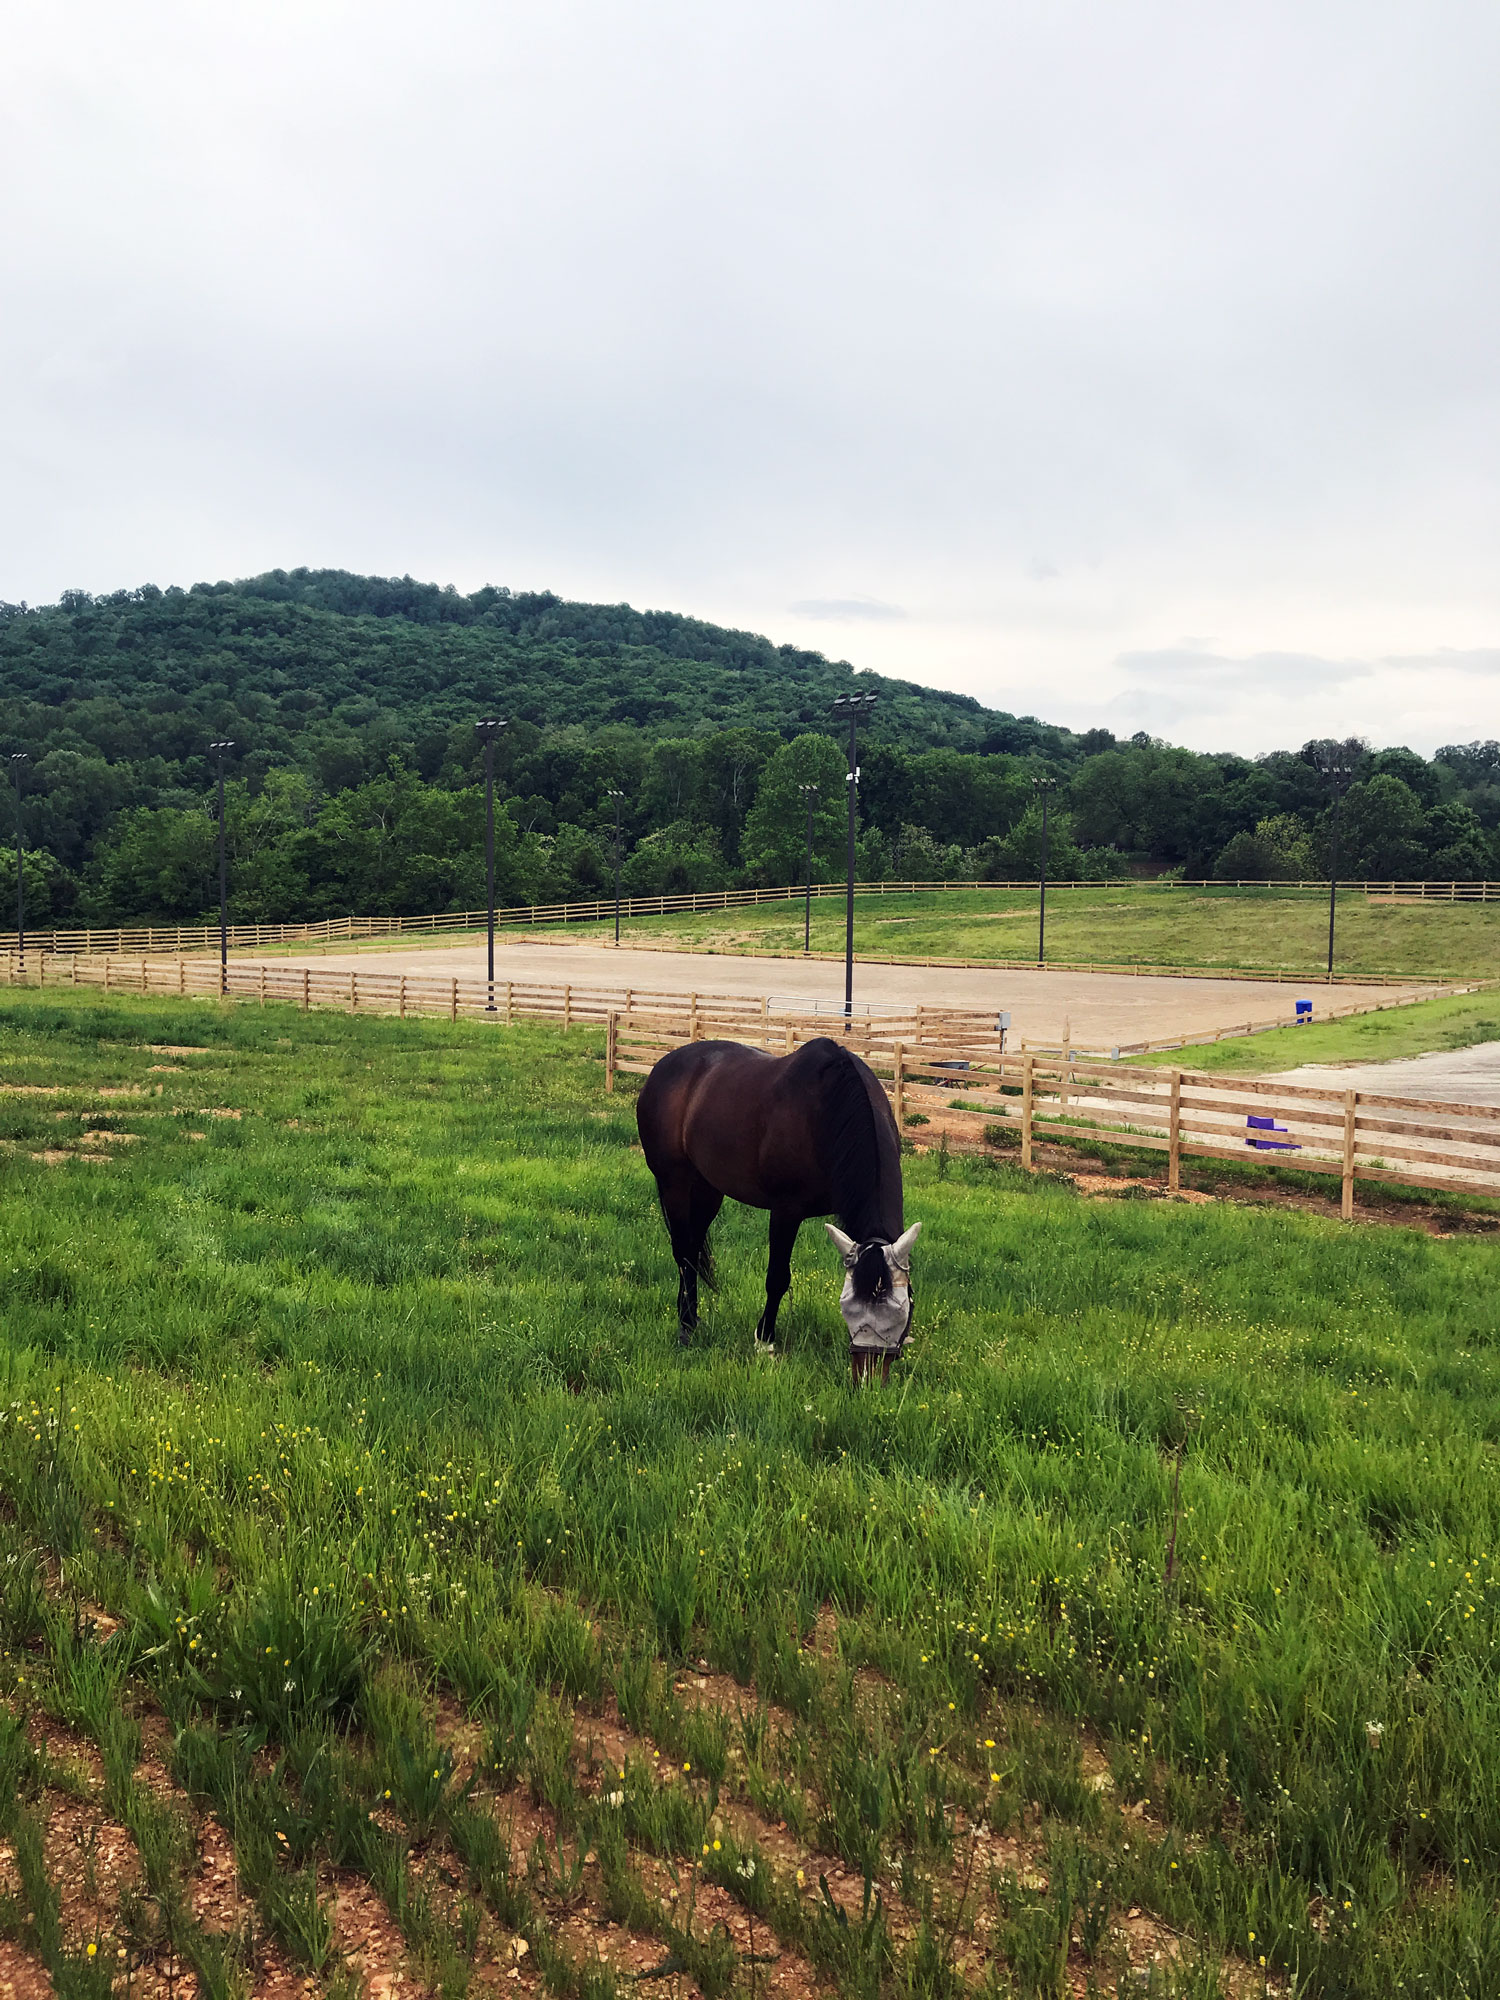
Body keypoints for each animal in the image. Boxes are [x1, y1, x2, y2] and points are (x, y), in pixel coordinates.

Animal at [632, 1040, 916, 1384]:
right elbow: (777, 1278)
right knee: (684, 1252)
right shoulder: (785, 1210)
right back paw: (686, 1327)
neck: (829, 1111)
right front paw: (765, 1342)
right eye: (848, 1308)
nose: (868, 1378)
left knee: (694, 1248)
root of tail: (662, 1066)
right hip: (674, 1181)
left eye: (903, 1312)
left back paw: (690, 1315)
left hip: (707, 1188)